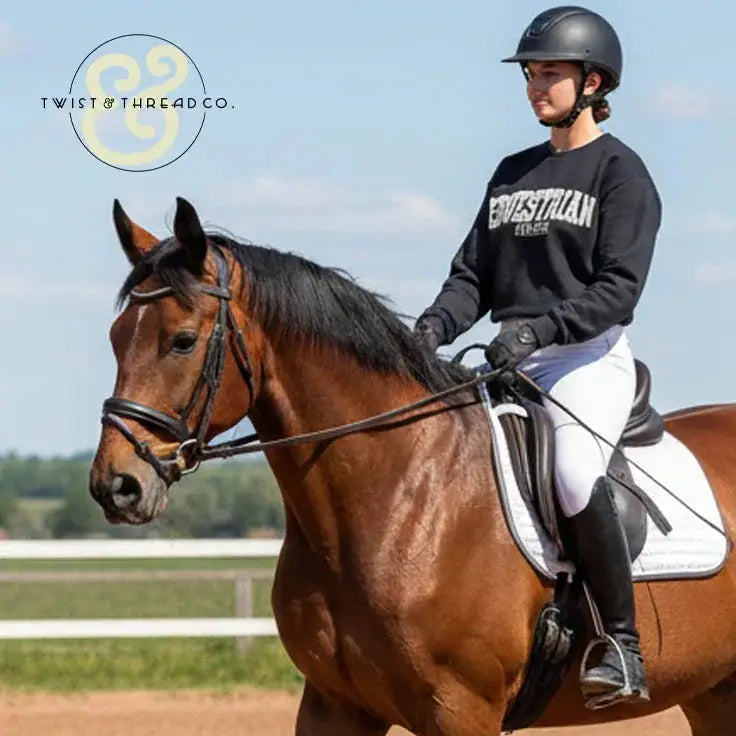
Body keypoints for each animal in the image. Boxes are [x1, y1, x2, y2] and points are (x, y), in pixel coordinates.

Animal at [90, 197, 736, 735]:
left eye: (182, 340)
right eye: (116, 337)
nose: (115, 486)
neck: (401, 495)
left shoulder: (460, 711)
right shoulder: (333, 705)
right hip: (714, 694)